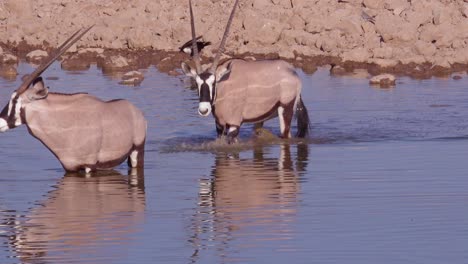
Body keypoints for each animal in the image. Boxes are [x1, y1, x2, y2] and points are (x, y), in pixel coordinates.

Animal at [0, 26, 146, 171]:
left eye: (15, 100)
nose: (0, 122)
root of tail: (134, 110)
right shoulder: (70, 168)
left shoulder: (89, 165)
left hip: (137, 150)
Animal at [181, 0, 308, 143]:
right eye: (197, 83)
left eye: (213, 83)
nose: (203, 110)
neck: (224, 87)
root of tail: (293, 73)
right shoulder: (220, 126)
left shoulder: (234, 124)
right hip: (260, 118)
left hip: (286, 109)